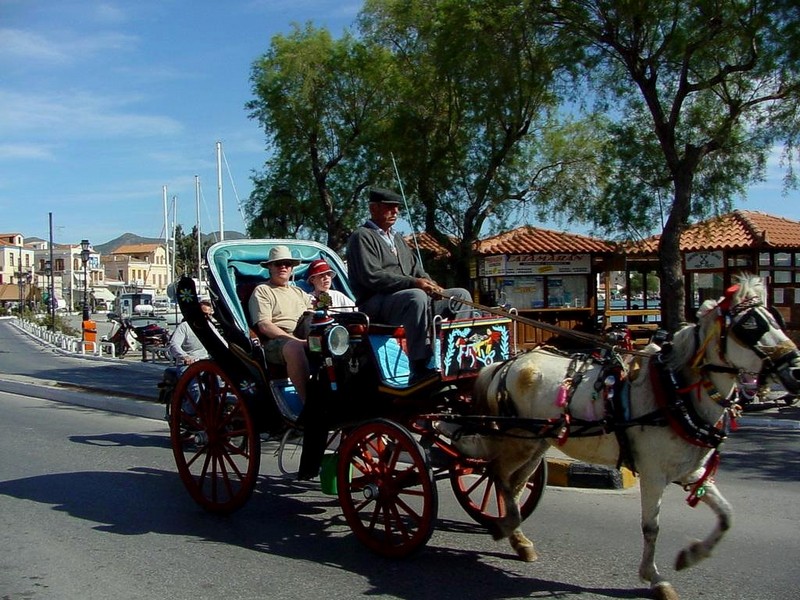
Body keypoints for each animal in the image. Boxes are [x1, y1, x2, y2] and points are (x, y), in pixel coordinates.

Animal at [440, 276, 800, 600]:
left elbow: (726, 516)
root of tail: (506, 364)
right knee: (498, 474)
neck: (672, 390)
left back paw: (516, 537)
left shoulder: (692, 472)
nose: (794, 366)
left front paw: (690, 555)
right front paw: (655, 578)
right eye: (750, 325)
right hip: (521, 441)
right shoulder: (653, 474)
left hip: (536, 443)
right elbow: (652, 527)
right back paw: (507, 527)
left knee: (510, 483)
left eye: (774, 318)